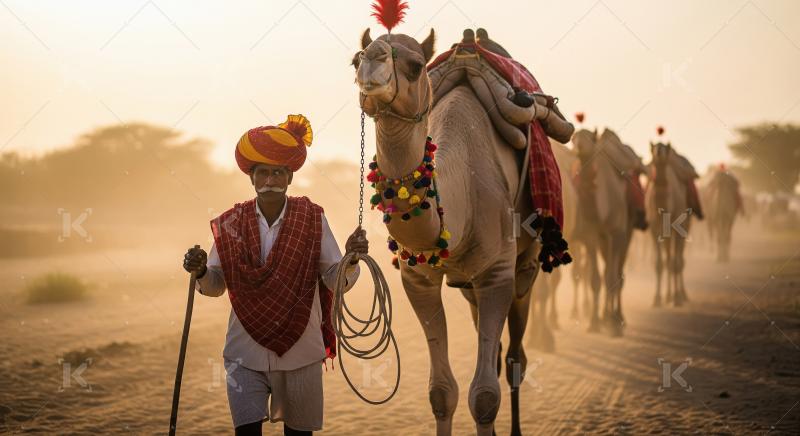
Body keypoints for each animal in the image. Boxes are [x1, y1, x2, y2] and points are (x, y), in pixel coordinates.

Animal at [353, 28, 567, 436]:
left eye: (415, 65)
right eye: (355, 59)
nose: (372, 60)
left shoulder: (497, 274)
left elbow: (484, 396)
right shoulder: (418, 279)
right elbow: (441, 392)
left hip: (525, 268)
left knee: (514, 358)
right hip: (469, 285)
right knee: (496, 355)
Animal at [571, 128, 642, 336]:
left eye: (590, 138)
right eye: (575, 137)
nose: (578, 146)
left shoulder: (617, 234)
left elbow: (613, 277)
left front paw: (614, 324)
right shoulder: (592, 236)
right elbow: (595, 278)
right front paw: (594, 322)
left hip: (627, 231)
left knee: (617, 271)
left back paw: (618, 317)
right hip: (604, 241)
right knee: (605, 270)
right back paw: (604, 316)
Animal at [646, 142, 692, 306]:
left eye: (665, 147)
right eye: (653, 147)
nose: (659, 151)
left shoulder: (678, 229)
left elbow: (676, 263)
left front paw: (678, 298)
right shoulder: (654, 230)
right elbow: (659, 263)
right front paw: (657, 299)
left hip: (685, 227)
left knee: (678, 260)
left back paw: (682, 295)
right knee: (668, 259)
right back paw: (668, 296)